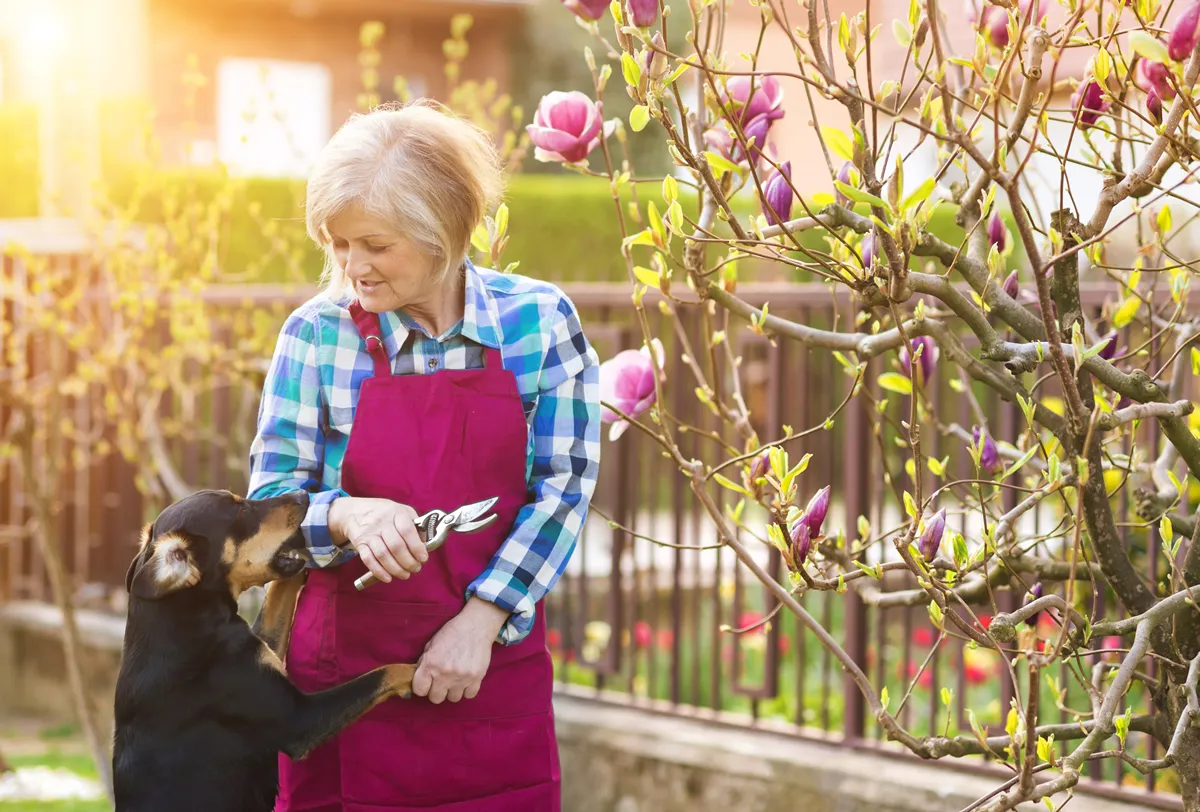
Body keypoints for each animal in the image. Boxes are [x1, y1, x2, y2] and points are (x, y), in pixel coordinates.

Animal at [113, 486, 412, 810]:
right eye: (241, 510)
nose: (303, 493)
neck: (185, 615)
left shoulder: (266, 650)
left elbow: (280, 592)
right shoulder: (300, 719)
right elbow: (384, 673)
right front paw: (418, 670)